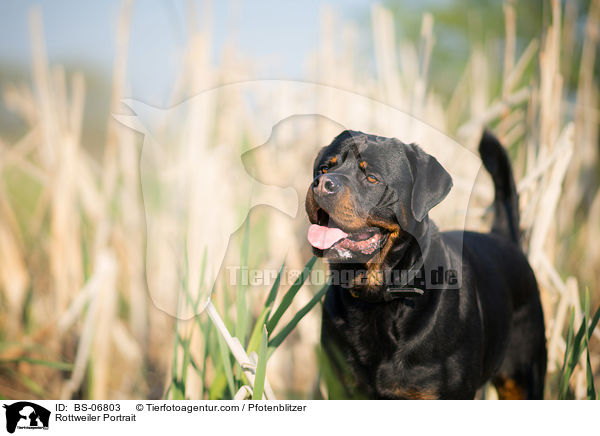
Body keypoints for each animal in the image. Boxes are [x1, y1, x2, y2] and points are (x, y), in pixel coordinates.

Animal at [308, 129, 548, 398]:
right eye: (324, 169)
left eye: (371, 178)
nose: (322, 184)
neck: (377, 299)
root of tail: (503, 238)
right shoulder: (341, 386)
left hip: (524, 376)